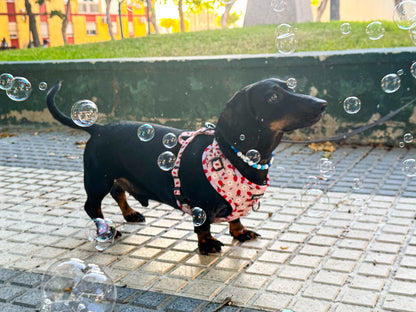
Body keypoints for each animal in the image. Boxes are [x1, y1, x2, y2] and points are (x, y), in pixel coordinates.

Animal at [45, 78, 324, 254]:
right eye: (273, 97)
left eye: (292, 87)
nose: (322, 104)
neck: (234, 155)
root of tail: (98, 127)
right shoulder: (200, 205)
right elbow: (203, 226)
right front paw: (207, 244)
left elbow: (236, 219)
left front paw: (240, 232)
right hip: (97, 178)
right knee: (92, 206)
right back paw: (107, 229)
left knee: (118, 192)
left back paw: (130, 214)